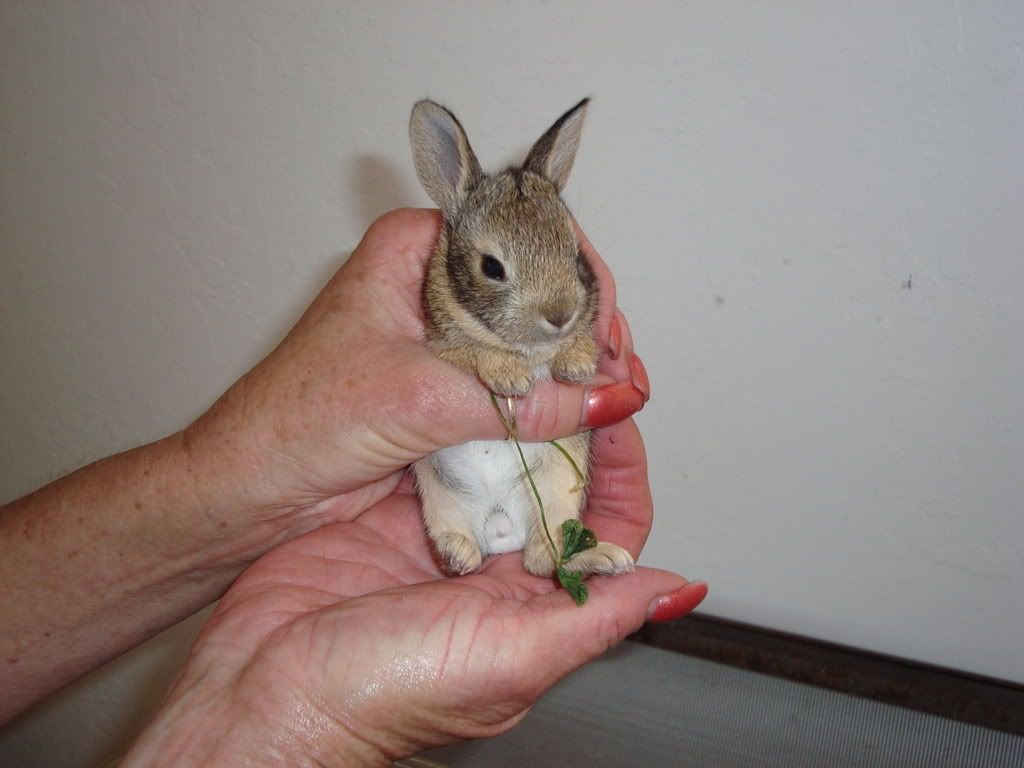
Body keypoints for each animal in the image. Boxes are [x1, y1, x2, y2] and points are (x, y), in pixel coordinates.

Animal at [409, 97, 635, 580]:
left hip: (557, 489)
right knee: (474, 550)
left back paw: (603, 559)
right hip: (438, 492)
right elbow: (475, 351)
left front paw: (576, 364)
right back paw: (454, 556)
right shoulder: (442, 348)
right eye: (492, 267)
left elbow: (582, 345)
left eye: (574, 254)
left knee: (541, 557)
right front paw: (512, 379)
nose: (560, 315)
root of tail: (501, 533)